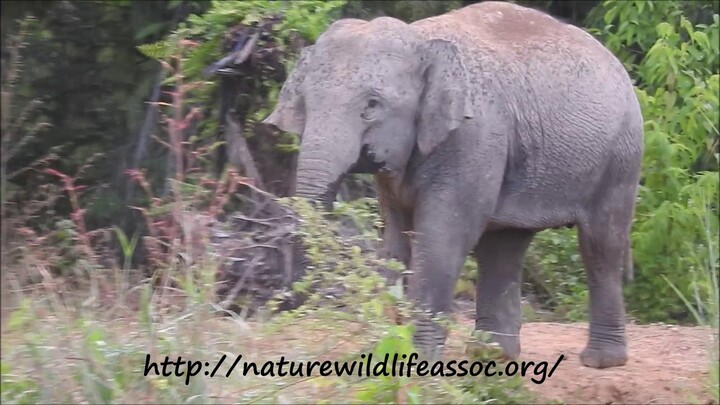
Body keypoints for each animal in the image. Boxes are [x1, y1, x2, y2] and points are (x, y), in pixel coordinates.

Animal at [262, 1, 643, 369]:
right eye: (306, 103)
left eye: (372, 105)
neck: (420, 40)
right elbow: (396, 238)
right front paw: (385, 353)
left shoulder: (472, 138)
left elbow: (443, 236)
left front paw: (417, 364)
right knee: (503, 247)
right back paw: (491, 357)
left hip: (621, 156)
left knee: (600, 245)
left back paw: (600, 361)